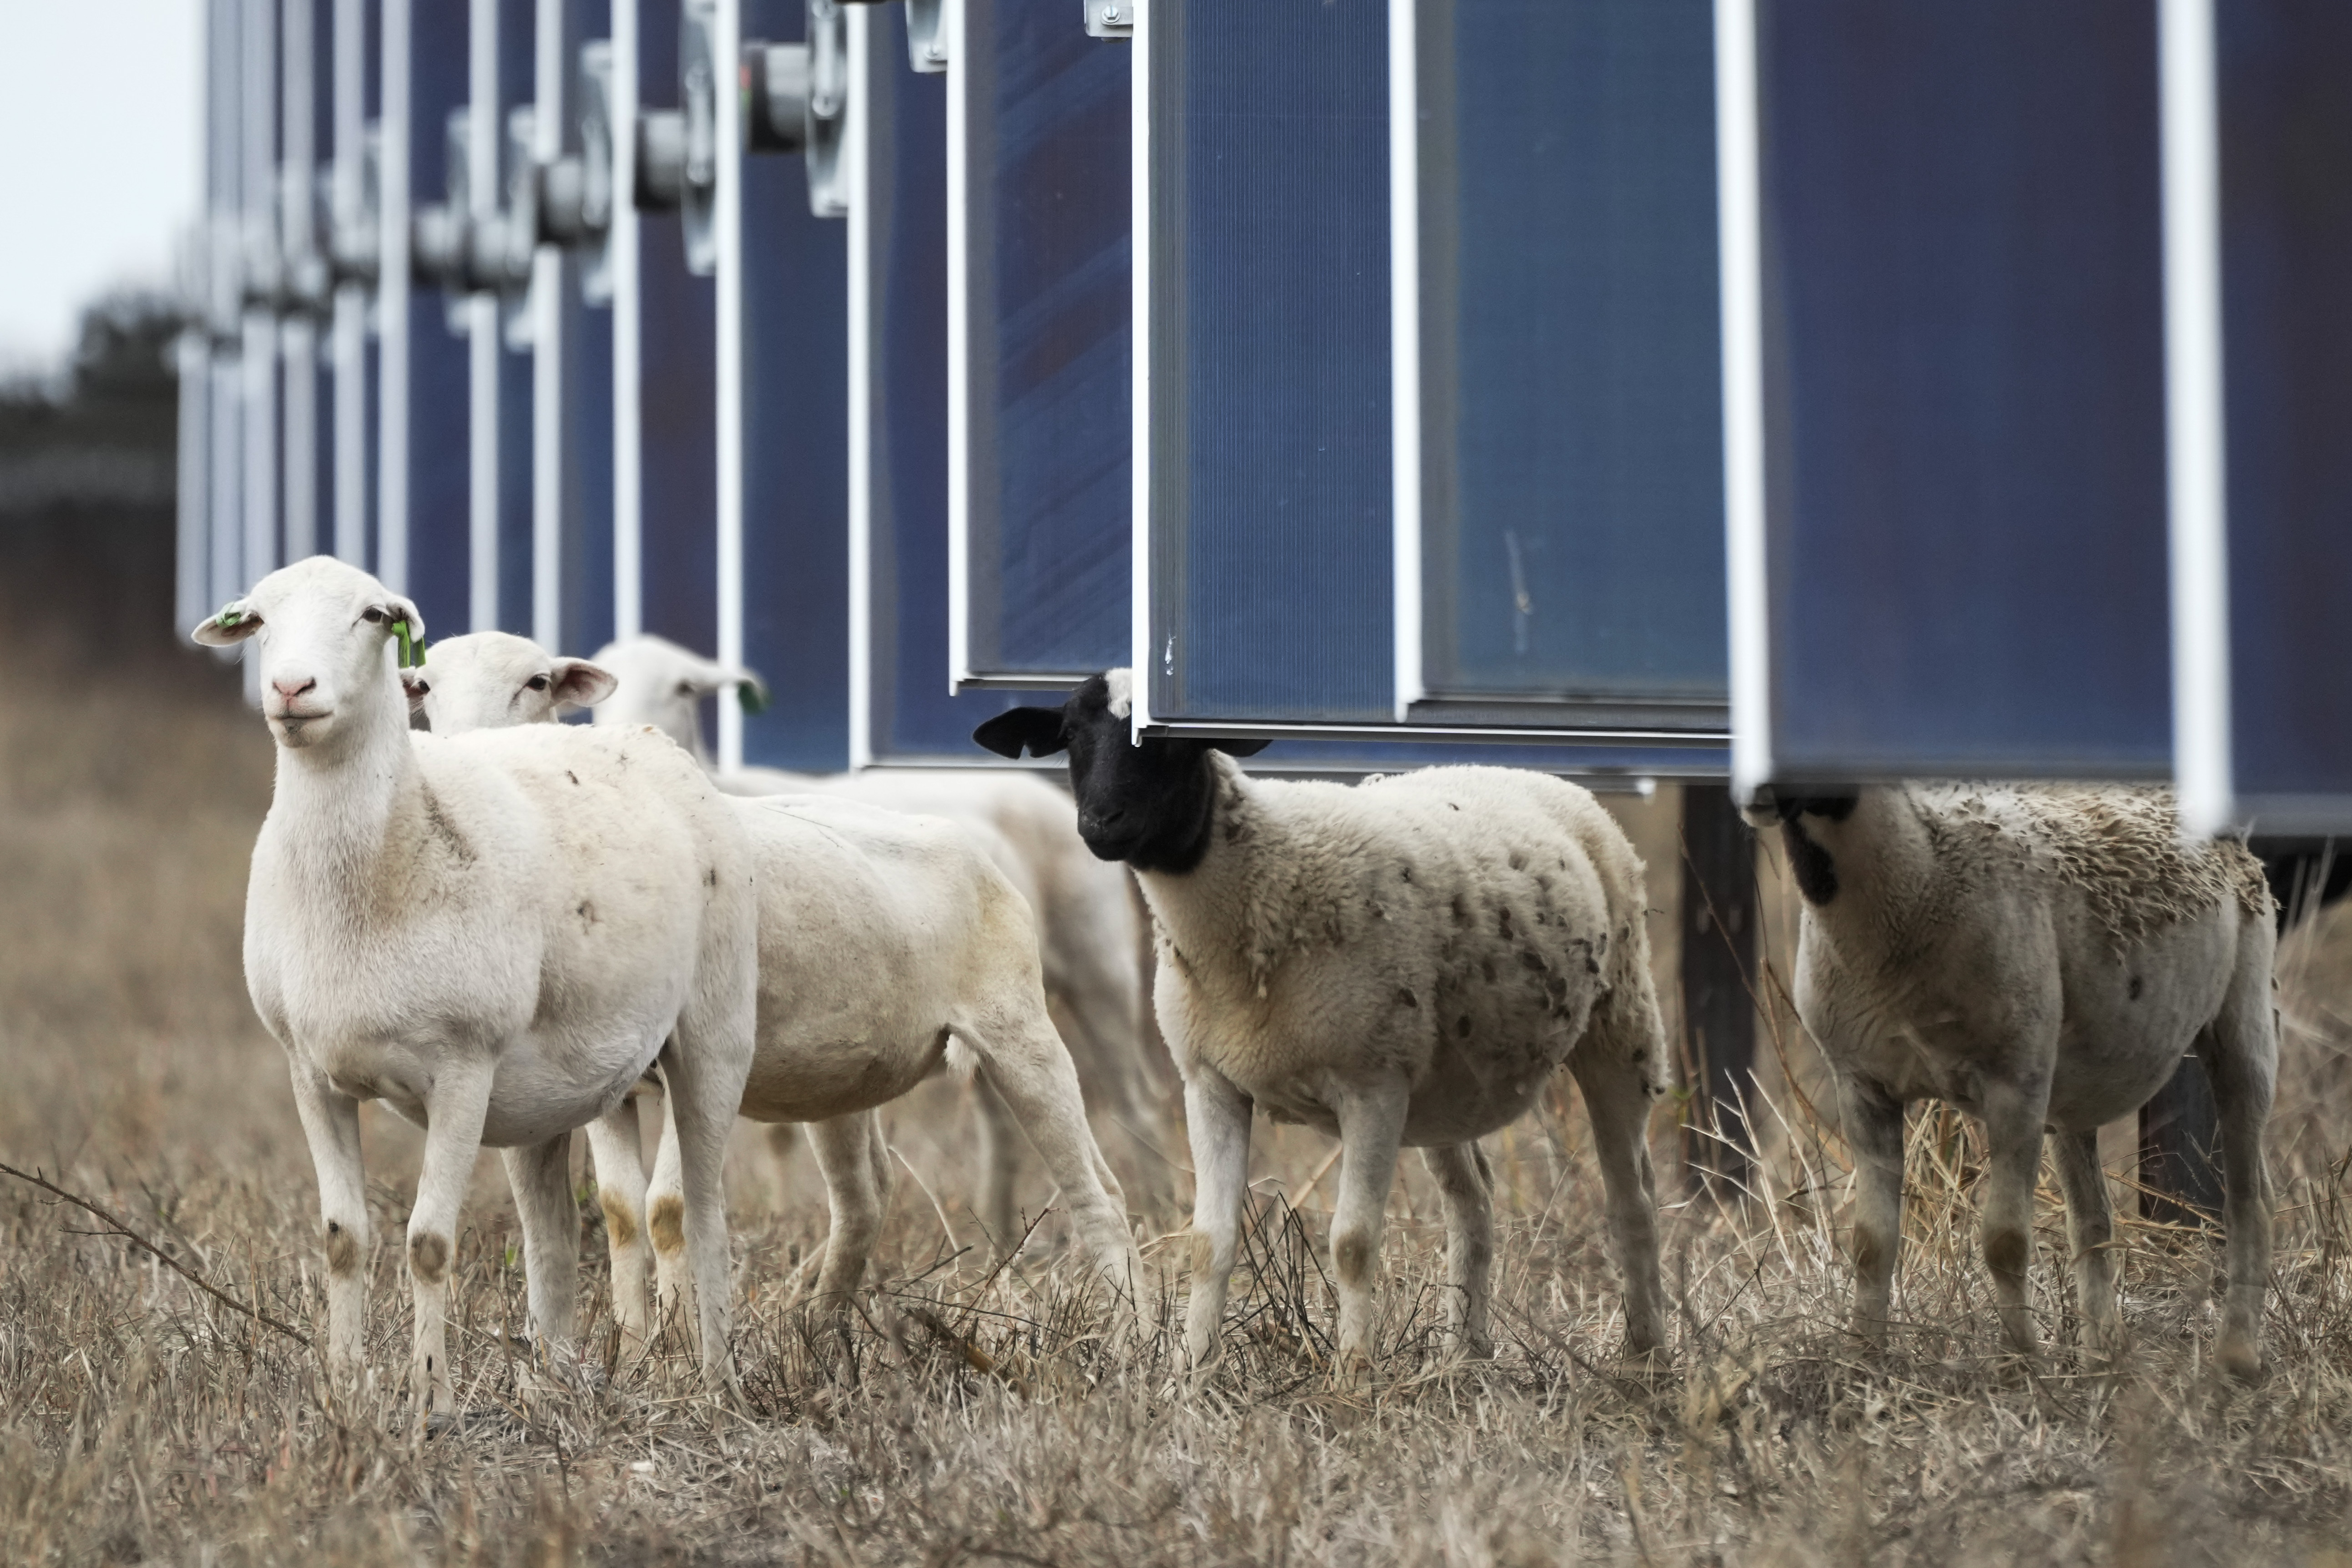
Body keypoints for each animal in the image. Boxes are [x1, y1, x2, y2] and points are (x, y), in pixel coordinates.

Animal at [198, 555, 762, 1410]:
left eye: (373, 615)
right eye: (257, 619)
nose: (292, 688)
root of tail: (645, 739)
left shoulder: (460, 1067)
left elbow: (429, 1243)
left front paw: (429, 1397)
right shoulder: (309, 1070)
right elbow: (341, 1238)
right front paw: (344, 1385)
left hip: (714, 1032)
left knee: (698, 1210)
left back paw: (714, 1375)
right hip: (548, 1092)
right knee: (556, 1232)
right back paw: (557, 1378)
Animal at [402, 625, 1138, 1335]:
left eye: (536, 682)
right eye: (425, 687)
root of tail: (969, 845)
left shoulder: (695, 1058)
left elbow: (670, 1208)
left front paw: (675, 1345)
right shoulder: (608, 1084)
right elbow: (621, 1211)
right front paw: (634, 1345)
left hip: (1022, 1027)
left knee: (1102, 1189)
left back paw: (1130, 1339)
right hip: (844, 1072)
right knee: (864, 1195)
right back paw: (821, 1330)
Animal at [973, 672, 1674, 1373]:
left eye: (1170, 740)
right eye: (1069, 735)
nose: (1099, 823)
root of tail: (1512, 769)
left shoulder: (1371, 1085)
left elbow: (1353, 1242)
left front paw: (1353, 1374)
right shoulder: (1211, 1081)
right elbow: (1209, 1241)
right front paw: (1192, 1371)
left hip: (1621, 1023)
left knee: (1633, 1200)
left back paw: (1647, 1356)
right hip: (1442, 1076)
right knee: (1472, 1199)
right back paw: (1464, 1356)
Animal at [1759, 785, 2267, 1373]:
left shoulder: (2016, 1082)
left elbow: (2004, 1240)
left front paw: (2020, 1361)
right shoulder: (1862, 1082)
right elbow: (1871, 1242)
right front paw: (1863, 1355)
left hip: (2244, 1017)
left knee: (2249, 1197)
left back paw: (2237, 1355)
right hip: (2073, 1088)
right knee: (2092, 1219)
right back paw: (2101, 1356)